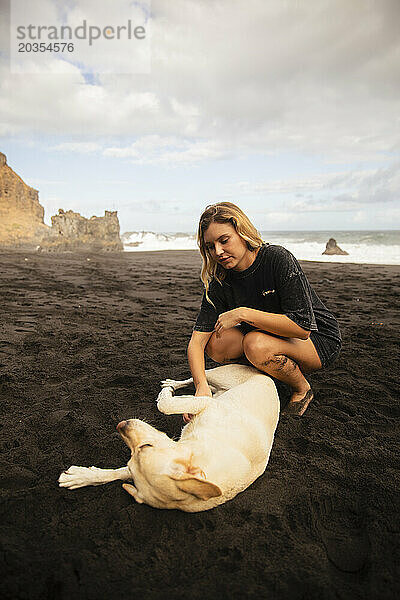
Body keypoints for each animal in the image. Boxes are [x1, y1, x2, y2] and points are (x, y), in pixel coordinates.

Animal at [57, 364, 280, 512]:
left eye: (146, 446)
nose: (121, 425)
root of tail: (265, 376)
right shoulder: (206, 404)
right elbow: (114, 473)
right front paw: (82, 476)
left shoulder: (208, 405)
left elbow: (164, 405)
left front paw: (165, 395)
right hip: (216, 375)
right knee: (196, 378)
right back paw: (173, 384)